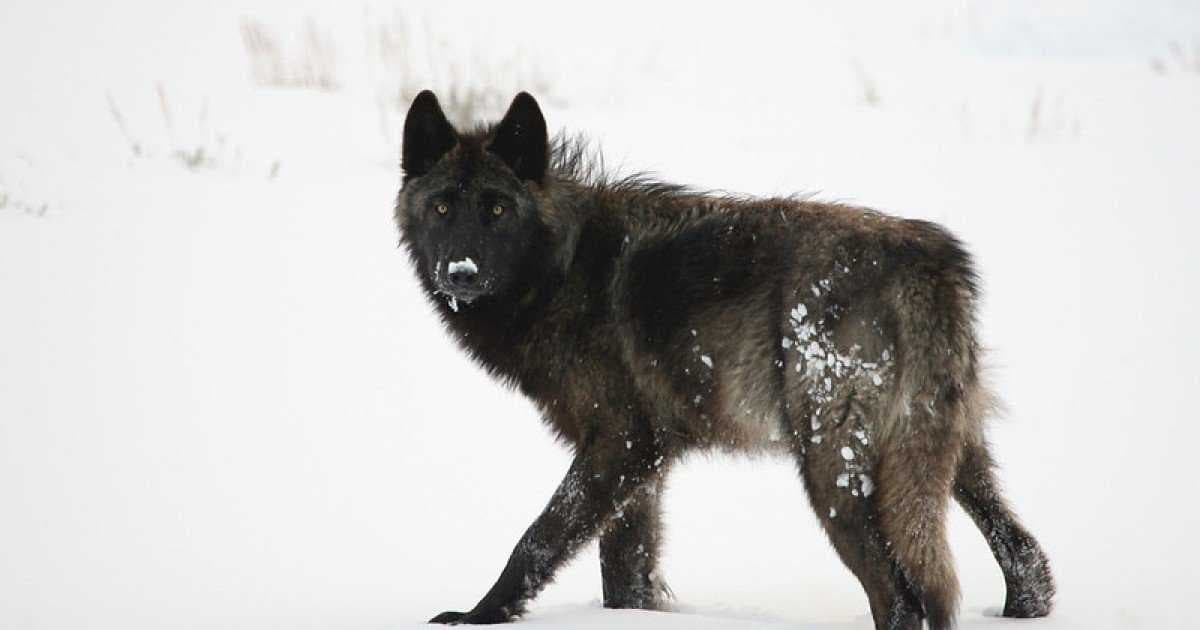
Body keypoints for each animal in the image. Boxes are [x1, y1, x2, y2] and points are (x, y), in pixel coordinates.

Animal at [394, 91, 1055, 629]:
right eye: (442, 208)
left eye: (497, 210)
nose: (461, 272)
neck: (562, 267)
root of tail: (928, 262)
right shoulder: (644, 465)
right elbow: (625, 574)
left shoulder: (619, 443)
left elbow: (538, 539)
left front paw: (476, 616)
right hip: (948, 457)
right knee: (1027, 560)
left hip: (834, 475)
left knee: (900, 598)